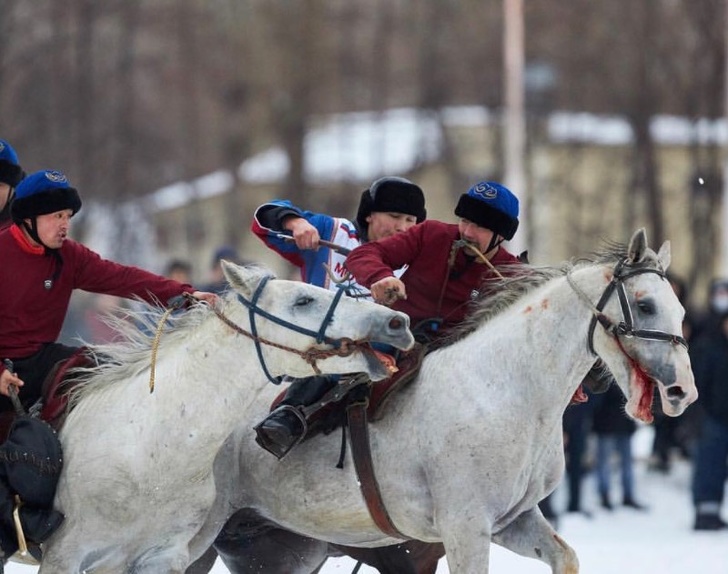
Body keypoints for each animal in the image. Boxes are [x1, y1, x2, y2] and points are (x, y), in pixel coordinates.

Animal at [198, 231, 692, 574]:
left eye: (681, 310)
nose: (682, 391)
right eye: (645, 305)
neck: (502, 387)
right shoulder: (464, 528)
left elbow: (564, 556)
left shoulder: (512, 522)